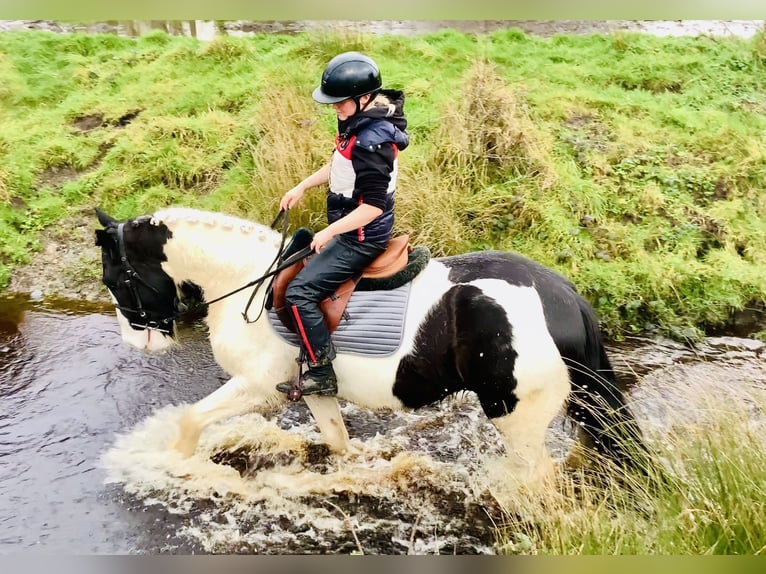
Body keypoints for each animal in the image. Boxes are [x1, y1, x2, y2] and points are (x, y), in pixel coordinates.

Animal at [94, 206, 649, 490]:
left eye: (116, 279)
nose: (137, 341)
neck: (250, 281)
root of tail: (562, 297)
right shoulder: (313, 389)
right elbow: (339, 442)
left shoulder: (257, 387)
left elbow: (190, 421)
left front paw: (180, 468)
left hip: (518, 418)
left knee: (538, 480)